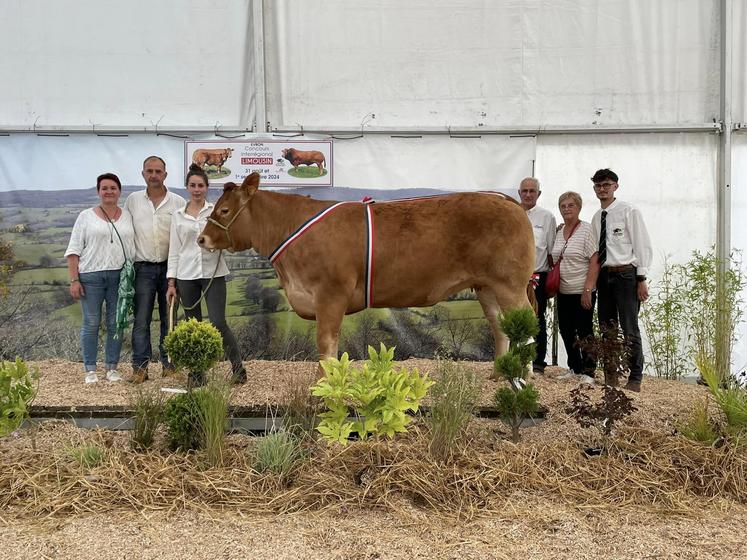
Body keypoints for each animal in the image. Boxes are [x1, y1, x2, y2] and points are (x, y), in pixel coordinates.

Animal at [199, 173, 536, 360]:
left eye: (224, 210)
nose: (202, 239)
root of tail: (507, 200)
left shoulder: (331, 294)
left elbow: (326, 344)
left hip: (510, 284)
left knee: (526, 325)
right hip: (486, 286)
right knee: (500, 327)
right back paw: (498, 374)